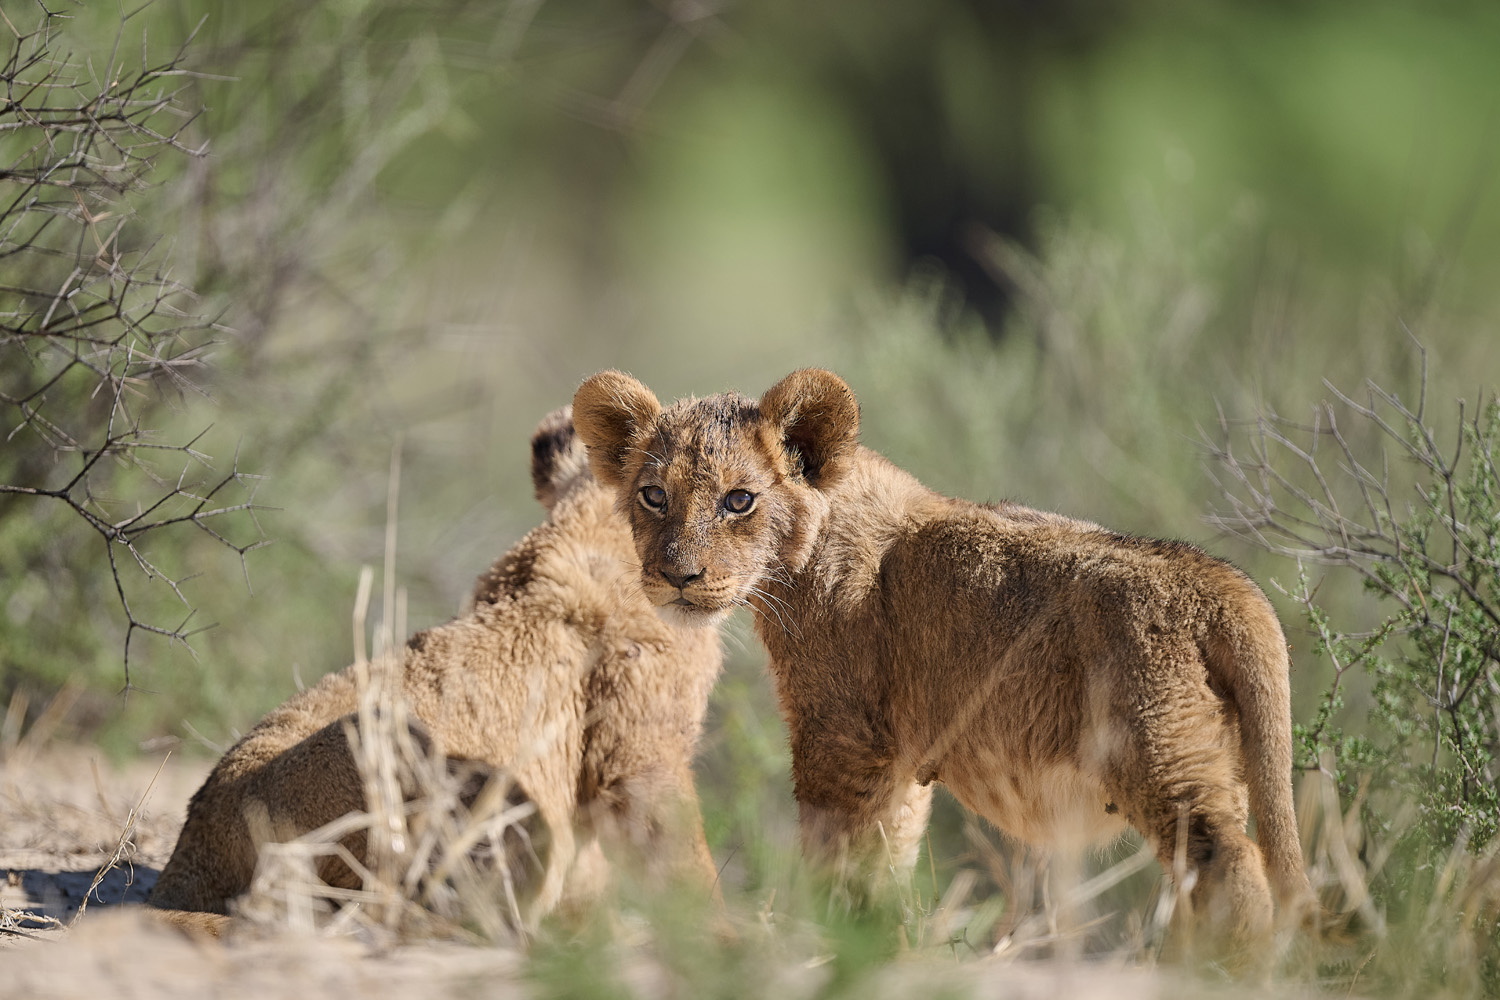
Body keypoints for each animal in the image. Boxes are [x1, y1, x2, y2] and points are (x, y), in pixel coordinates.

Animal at [572, 367, 1315, 958]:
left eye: (739, 500)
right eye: (654, 496)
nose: (677, 577)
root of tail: (1218, 580)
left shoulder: (841, 738)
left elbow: (834, 852)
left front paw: (827, 942)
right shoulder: (896, 754)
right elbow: (889, 857)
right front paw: (880, 944)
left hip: (1160, 750)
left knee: (1230, 865)